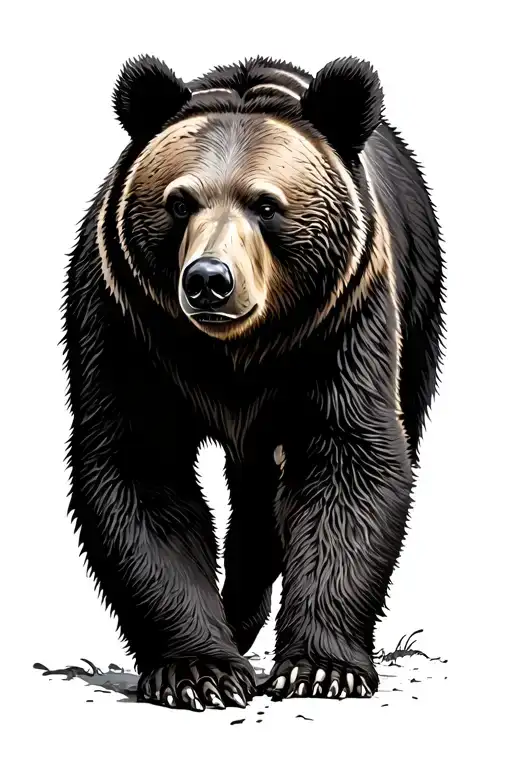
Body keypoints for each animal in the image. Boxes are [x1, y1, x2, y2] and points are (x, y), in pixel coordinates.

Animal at [63, 54, 445, 711]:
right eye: (180, 202)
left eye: (266, 205)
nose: (209, 280)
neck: (239, 353)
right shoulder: (127, 324)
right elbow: (138, 468)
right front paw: (200, 671)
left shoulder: (343, 323)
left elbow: (351, 459)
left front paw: (320, 669)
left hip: (419, 300)